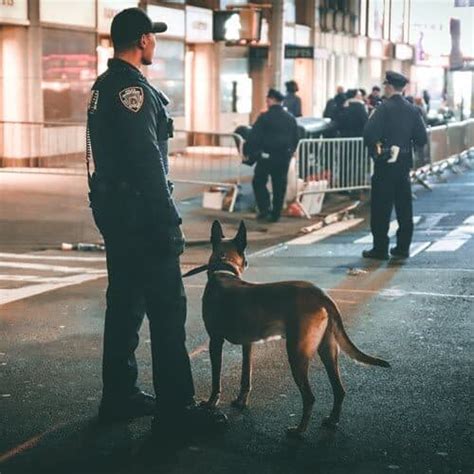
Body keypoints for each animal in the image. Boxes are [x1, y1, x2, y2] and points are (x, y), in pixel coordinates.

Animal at [200, 220, 388, 436]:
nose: (247, 263)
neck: (224, 271)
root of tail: (321, 295)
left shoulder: (215, 342)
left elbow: (216, 379)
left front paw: (210, 403)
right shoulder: (248, 345)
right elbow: (246, 377)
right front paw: (241, 402)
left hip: (297, 354)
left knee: (310, 397)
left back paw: (299, 431)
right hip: (327, 350)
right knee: (339, 390)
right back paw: (332, 421)